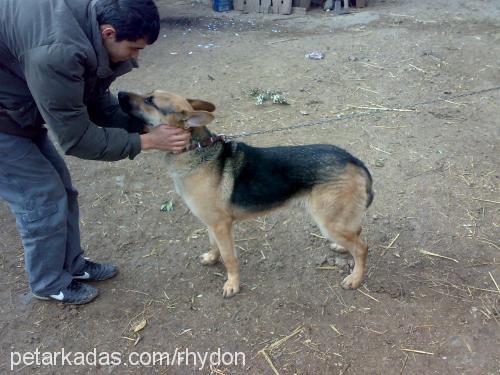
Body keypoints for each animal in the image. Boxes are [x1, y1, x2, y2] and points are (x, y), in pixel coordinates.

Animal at [119, 89, 374, 298]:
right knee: (357, 233)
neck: (195, 150)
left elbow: (230, 258)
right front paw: (212, 258)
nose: (119, 93)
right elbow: (213, 245)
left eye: (150, 100)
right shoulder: (212, 224)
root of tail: (353, 160)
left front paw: (232, 284)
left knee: (362, 247)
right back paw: (342, 248)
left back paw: (355, 278)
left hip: (328, 222)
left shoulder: (222, 226)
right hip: (338, 220)